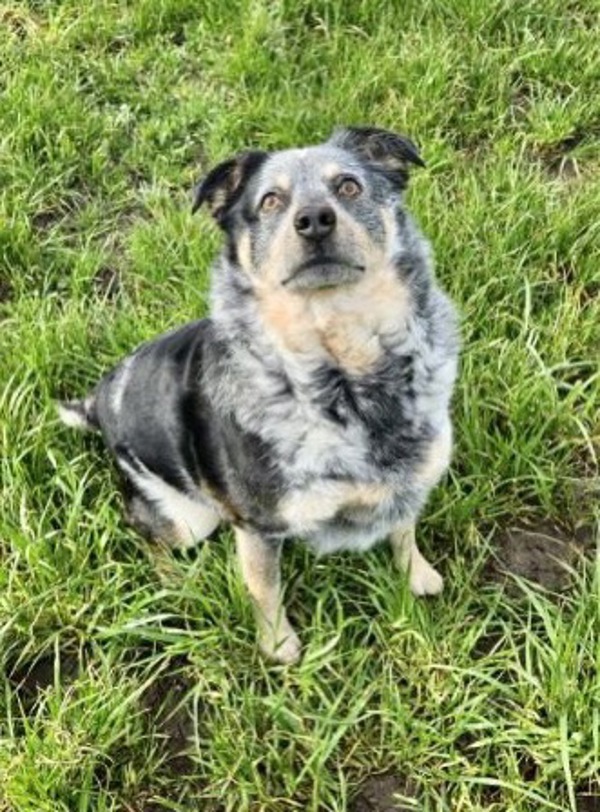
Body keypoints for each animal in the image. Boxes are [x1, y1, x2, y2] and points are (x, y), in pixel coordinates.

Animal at [57, 125, 460, 660]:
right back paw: (175, 583)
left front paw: (419, 575)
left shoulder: (408, 479)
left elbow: (403, 529)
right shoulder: (257, 527)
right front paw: (279, 645)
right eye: (270, 201)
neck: (345, 377)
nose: (314, 220)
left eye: (349, 186)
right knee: (143, 530)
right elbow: (264, 586)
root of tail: (99, 403)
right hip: (189, 519)